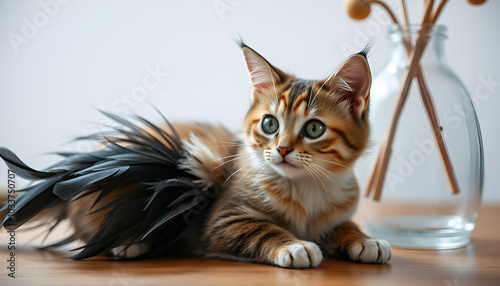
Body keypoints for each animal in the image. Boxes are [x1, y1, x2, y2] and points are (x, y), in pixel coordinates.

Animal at [0, 42, 390, 268]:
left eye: (313, 129)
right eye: (269, 123)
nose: (281, 149)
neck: (308, 189)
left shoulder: (340, 210)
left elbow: (347, 224)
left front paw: (365, 240)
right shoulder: (223, 220)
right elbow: (263, 228)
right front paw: (293, 245)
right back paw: (131, 245)